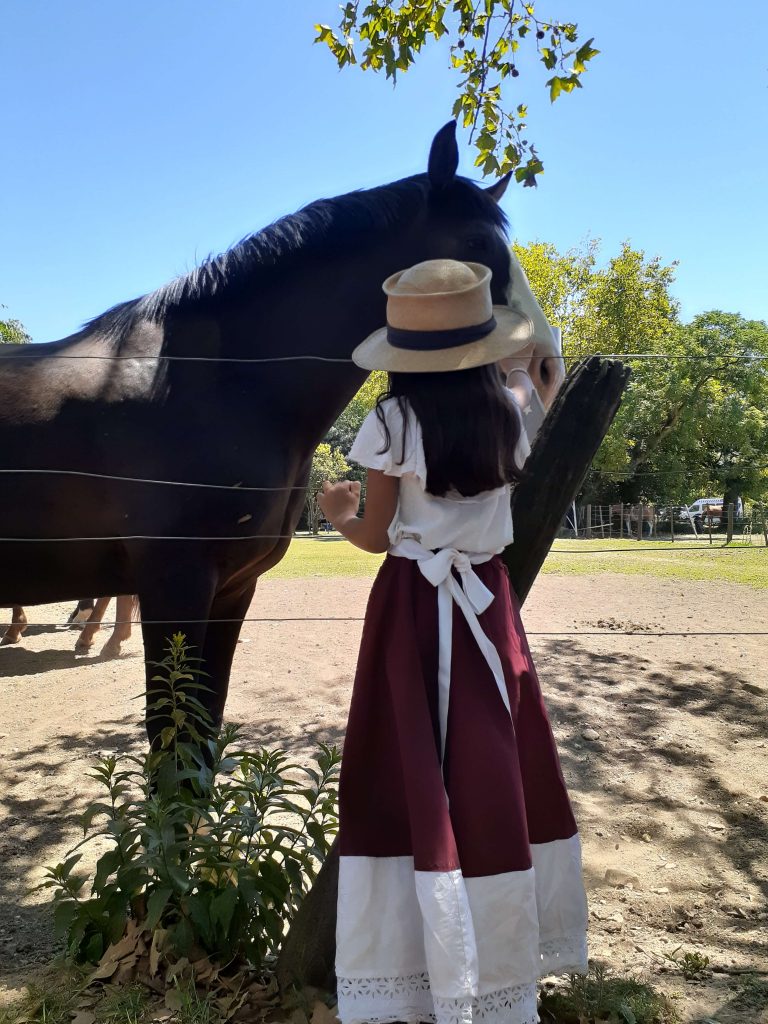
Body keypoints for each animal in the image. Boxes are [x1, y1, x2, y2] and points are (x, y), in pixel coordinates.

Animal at [0, 123, 552, 745]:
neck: (215, 383)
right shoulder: (176, 585)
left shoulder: (232, 589)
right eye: (476, 244)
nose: (543, 370)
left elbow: (204, 734)